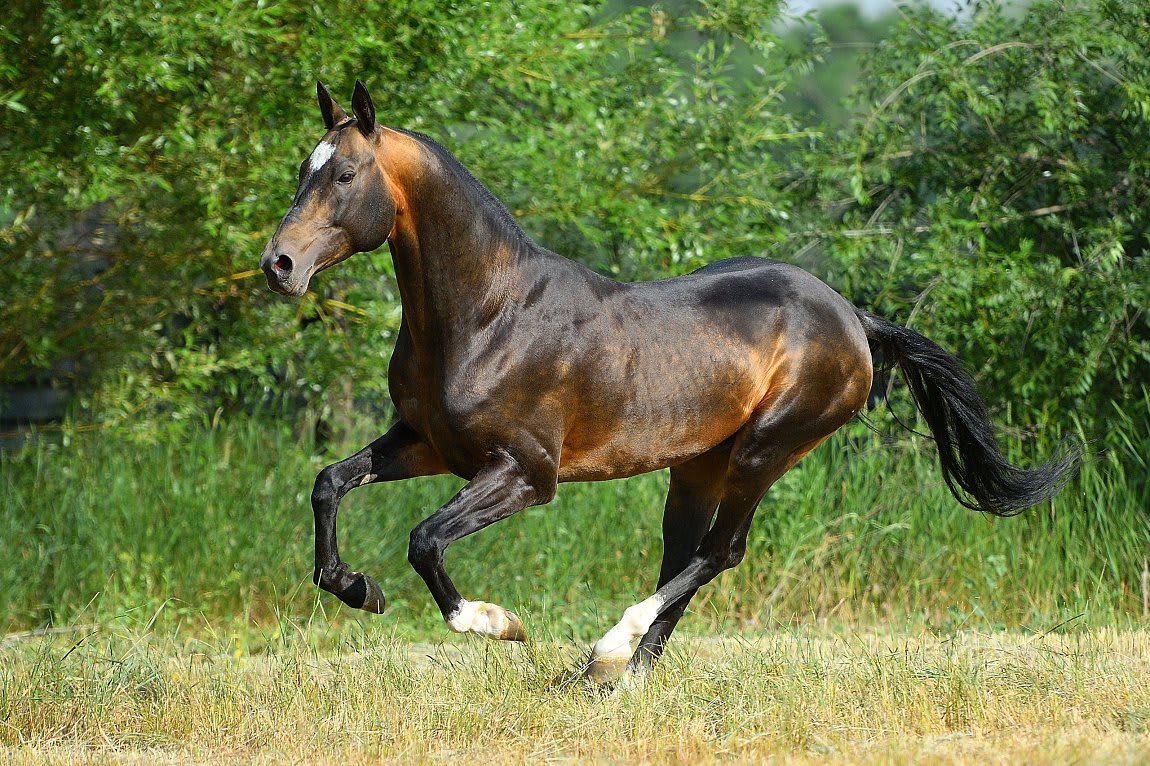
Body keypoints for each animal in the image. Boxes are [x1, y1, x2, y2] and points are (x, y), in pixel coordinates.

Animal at [259, 80, 1078, 684]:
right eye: (302, 171)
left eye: (345, 174)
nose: (279, 265)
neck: (490, 314)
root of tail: (855, 319)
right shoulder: (426, 443)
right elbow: (329, 484)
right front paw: (357, 588)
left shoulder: (524, 473)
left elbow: (425, 539)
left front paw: (499, 626)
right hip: (698, 465)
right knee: (686, 556)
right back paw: (618, 679)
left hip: (766, 450)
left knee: (720, 554)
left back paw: (607, 653)